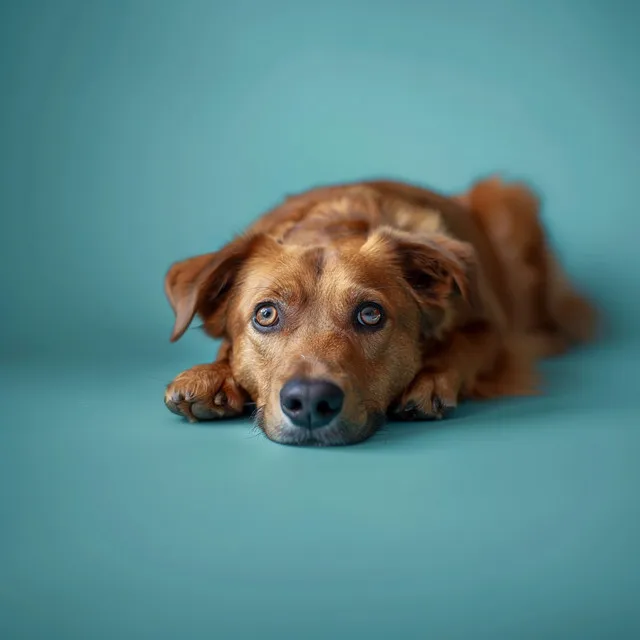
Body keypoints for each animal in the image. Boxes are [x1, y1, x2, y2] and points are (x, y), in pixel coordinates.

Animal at [162, 176, 596, 444]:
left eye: (370, 314)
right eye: (265, 315)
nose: (310, 401)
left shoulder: (494, 333)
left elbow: (464, 347)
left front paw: (430, 380)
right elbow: (225, 351)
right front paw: (210, 375)